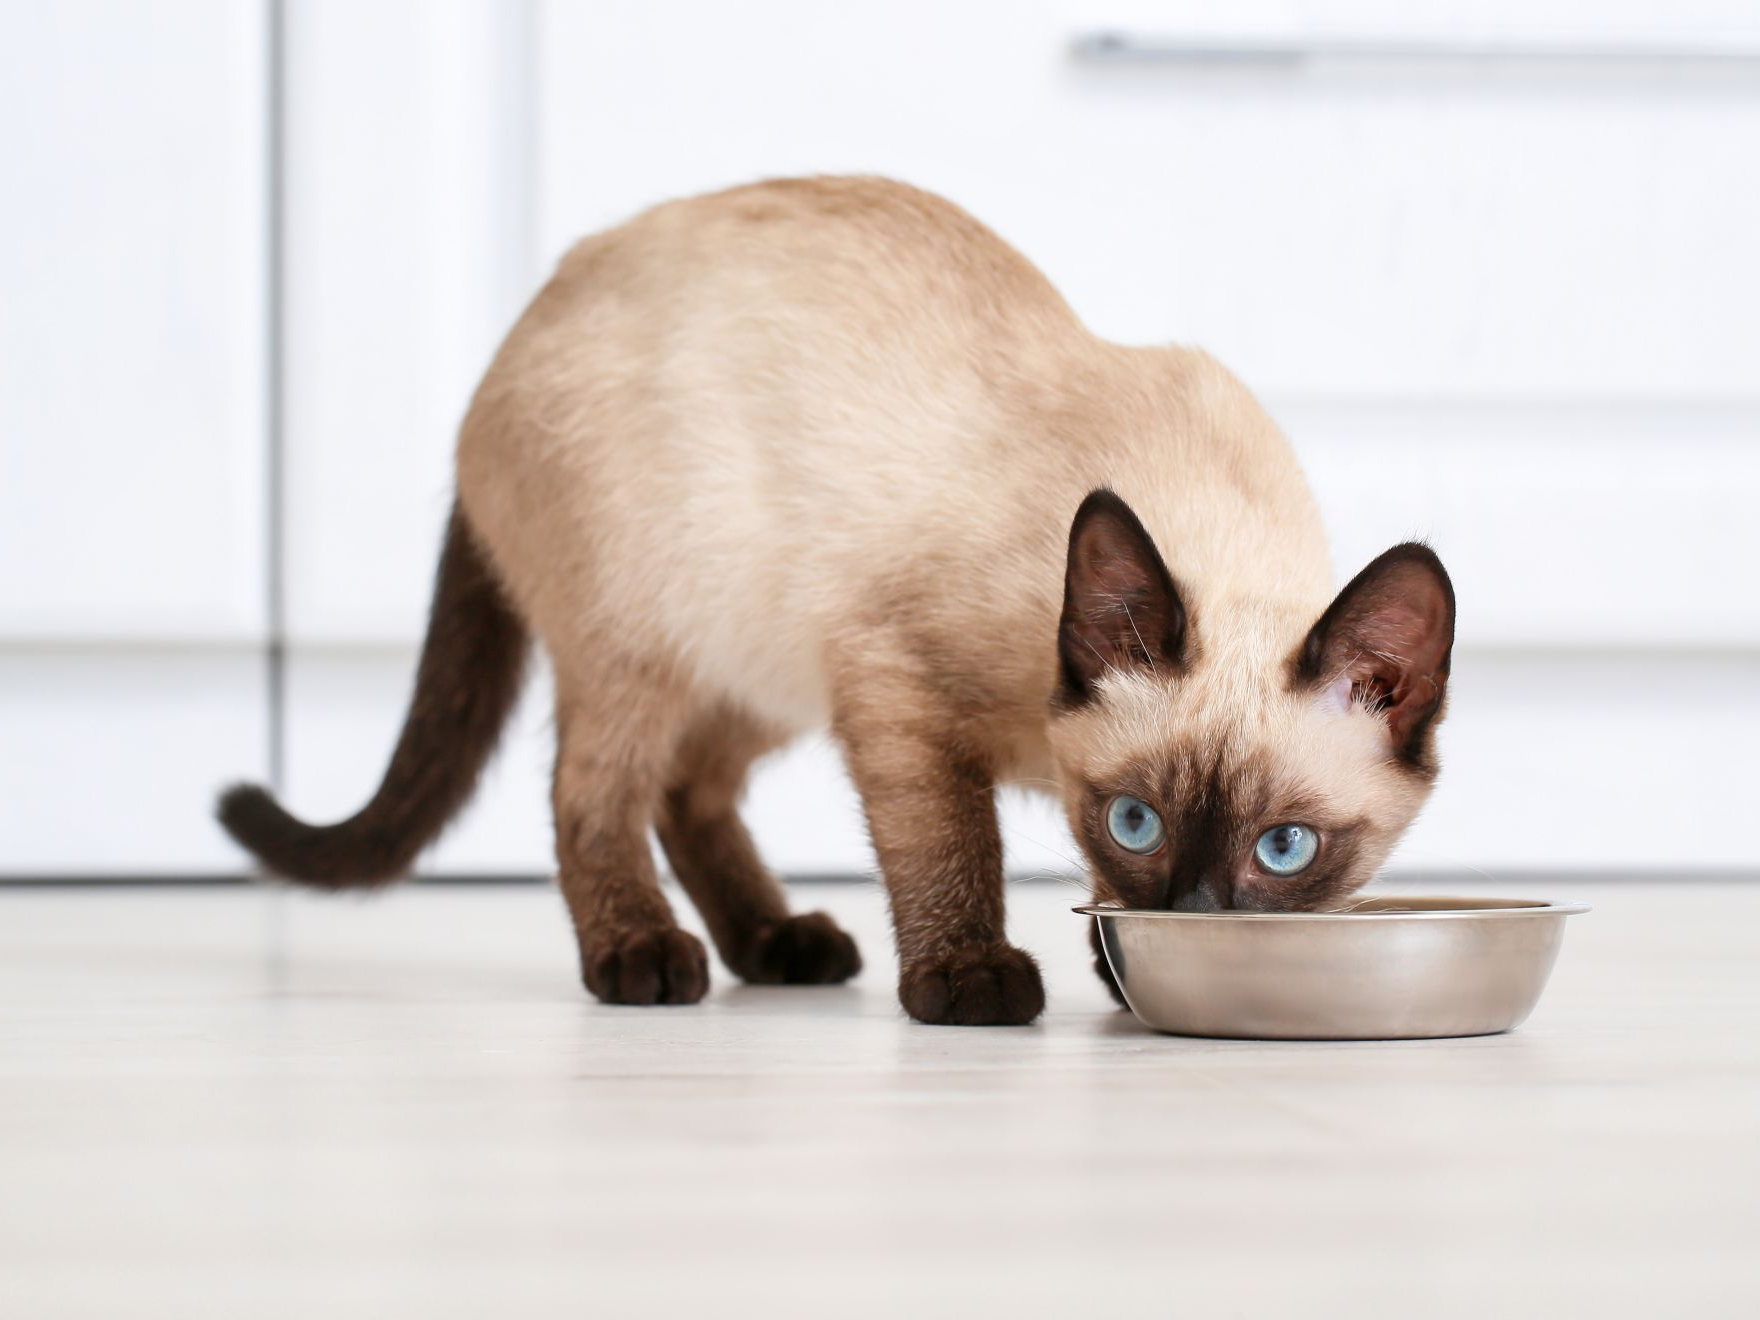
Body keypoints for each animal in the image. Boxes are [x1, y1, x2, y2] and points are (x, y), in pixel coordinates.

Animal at [220, 176, 1457, 1027]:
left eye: (1284, 849)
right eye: (1136, 821)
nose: (1194, 920)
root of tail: (519, 330)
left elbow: (1079, 893)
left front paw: (1120, 974)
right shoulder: (897, 693)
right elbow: (949, 850)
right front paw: (970, 979)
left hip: (757, 666)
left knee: (688, 792)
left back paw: (778, 945)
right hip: (649, 641)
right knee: (593, 794)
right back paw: (643, 957)